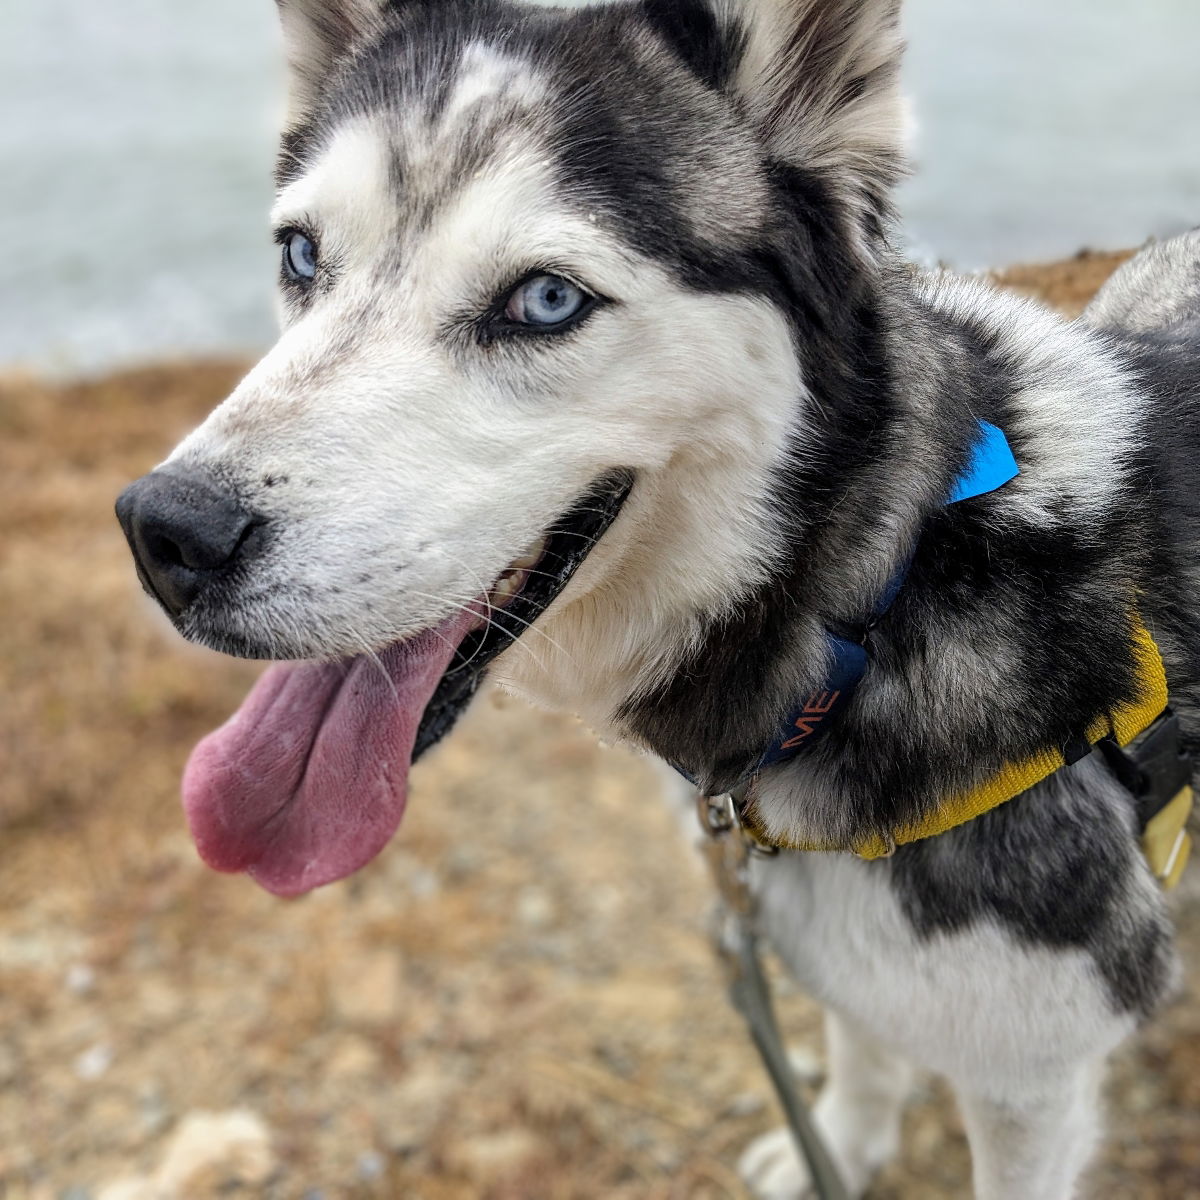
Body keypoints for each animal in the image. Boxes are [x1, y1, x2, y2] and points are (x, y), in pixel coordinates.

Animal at [114, 4, 1200, 1195]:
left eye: (546, 299)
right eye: (301, 254)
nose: (168, 535)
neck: (877, 608)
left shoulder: (1031, 1072)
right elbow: (864, 1050)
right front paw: (842, 1146)